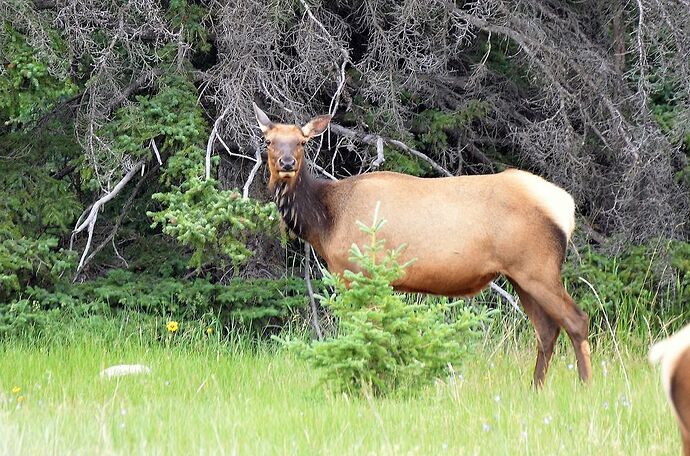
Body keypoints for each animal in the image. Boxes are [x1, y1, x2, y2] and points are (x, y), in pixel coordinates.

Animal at [254, 104, 592, 388]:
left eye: (301, 142)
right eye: (269, 141)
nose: (287, 163)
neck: (326, 221)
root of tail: (566, 205)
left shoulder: (359, 272)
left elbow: (366, 332)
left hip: (538, 268)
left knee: (577, 320)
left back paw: (585, 386)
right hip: (520, 275)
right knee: (547, 330)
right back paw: (536, 388)